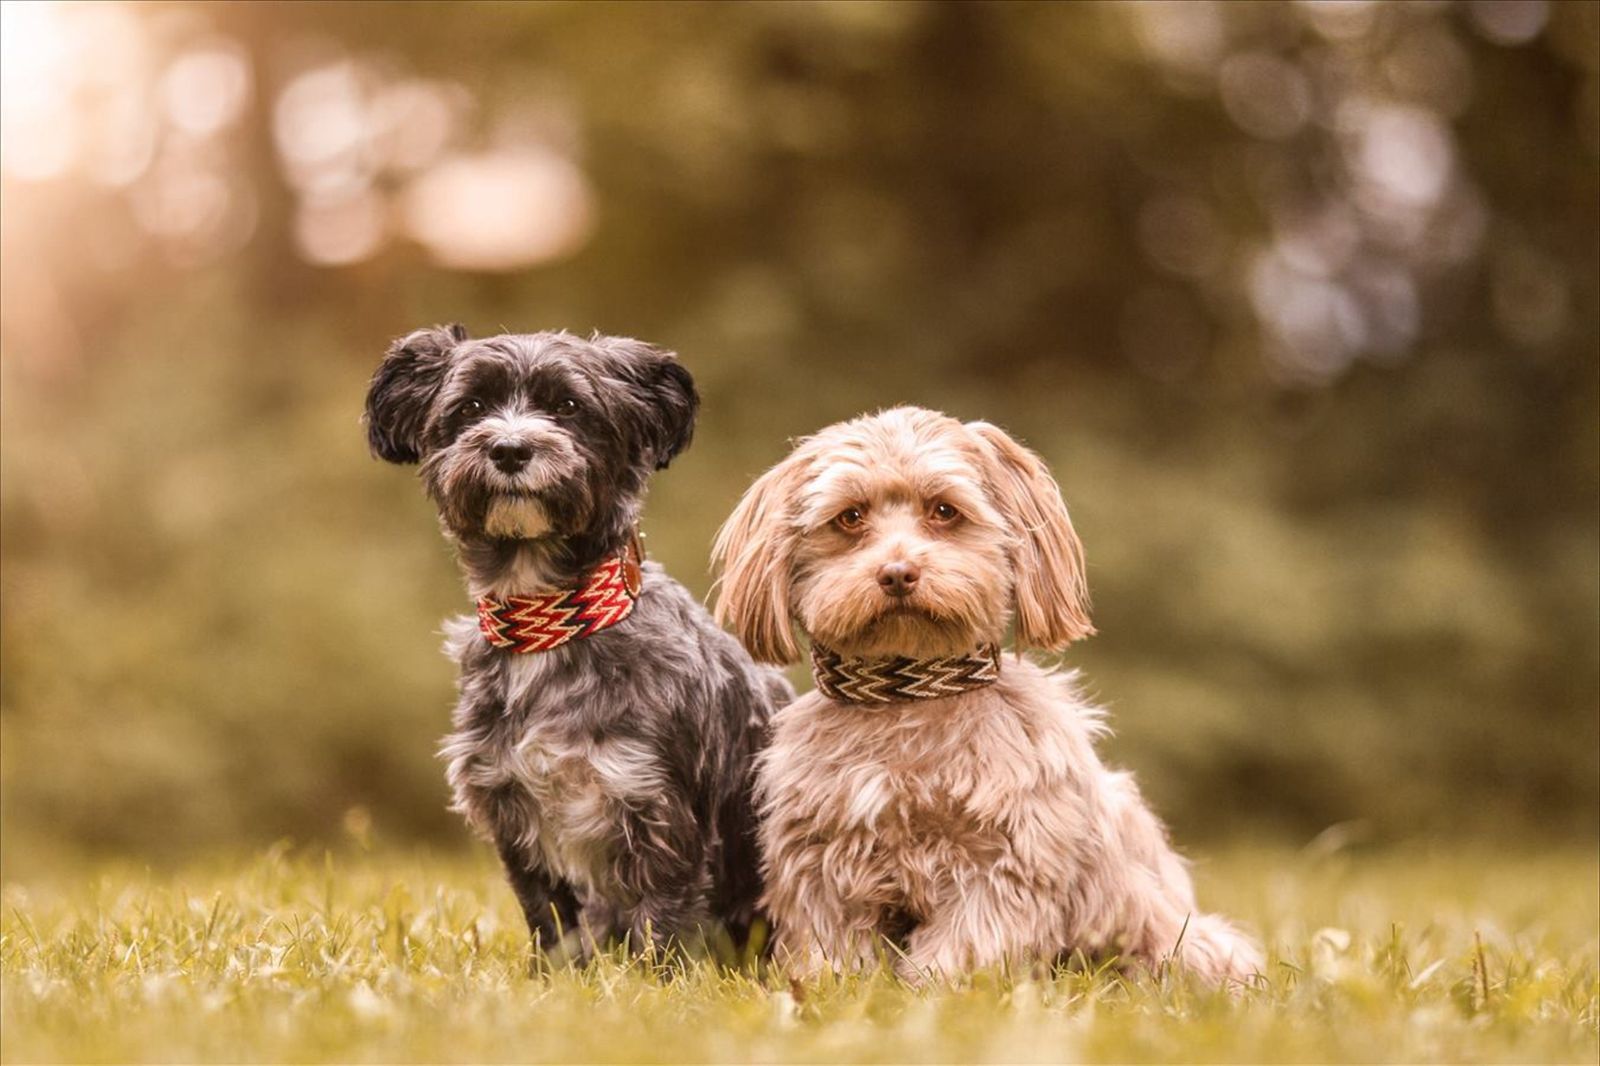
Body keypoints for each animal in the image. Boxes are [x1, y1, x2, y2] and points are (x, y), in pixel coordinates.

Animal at [363, 326, 787, 953]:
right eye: (470, 407)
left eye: (568, 406)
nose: (510, 449)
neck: (550, 625)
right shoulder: (513, 810)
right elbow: (551, 923)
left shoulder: (659, 812)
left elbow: (660, 925)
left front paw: (651, 977)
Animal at [716, 404, 1260, 979]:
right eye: (849, 517)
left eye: (944, 510)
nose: (897, 572)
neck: (908, 695)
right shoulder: (821, 857)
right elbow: (832, 944)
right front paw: (828, 985)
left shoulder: (1001, 859)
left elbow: (967, 941)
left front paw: (934, 987)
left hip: (1173, 937)